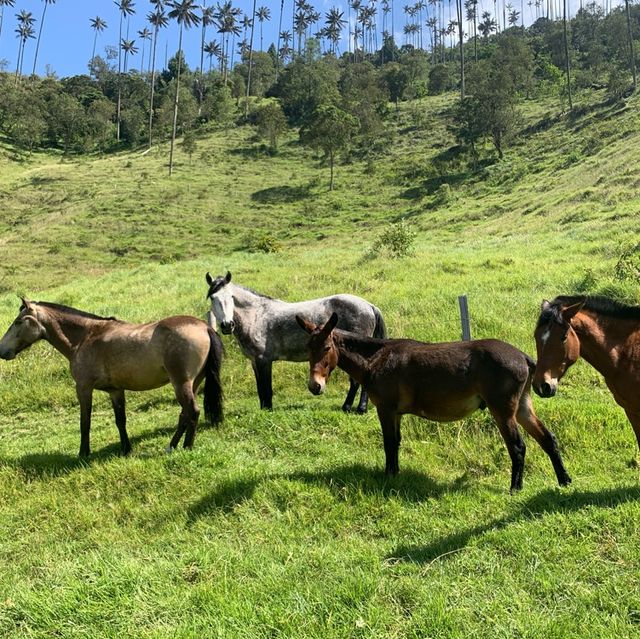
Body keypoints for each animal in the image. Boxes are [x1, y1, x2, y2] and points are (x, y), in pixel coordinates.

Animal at [0, 298, 225, 456]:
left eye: (18, 321)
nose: (2, 350)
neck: (86, 337)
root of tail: (204, 326)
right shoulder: (115, 391)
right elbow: (120, 420)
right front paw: (126, 449)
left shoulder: (83, 388)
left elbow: (85, 422)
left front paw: (83, 453)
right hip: (193, 383)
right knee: (184, 414)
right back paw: (171, 446)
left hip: (181, 384)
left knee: (192, 412)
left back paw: (186, 447)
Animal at [206, 272, 384, 412]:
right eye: (213, 298)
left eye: (231, 297)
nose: (227, 325)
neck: (257, 316)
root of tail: (369, 306)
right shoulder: (254, 361)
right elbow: (260, 389)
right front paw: (263, 409)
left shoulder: (264, 360)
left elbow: (266, 389)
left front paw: (268, 410)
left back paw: (353, 408)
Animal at [296, 312, 568, 492]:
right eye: (308, 348)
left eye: (327, 347)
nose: (314, 386)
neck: (376, 358)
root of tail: (523, 356)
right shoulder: (396, 413)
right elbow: (396, 442)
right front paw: (395, 473)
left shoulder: (385, 409)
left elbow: (388, 443)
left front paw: (388, 476)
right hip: (522, 407)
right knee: (548, 439)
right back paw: (564, 480)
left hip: (502, 410)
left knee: (518, 446)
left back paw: (515, 488)